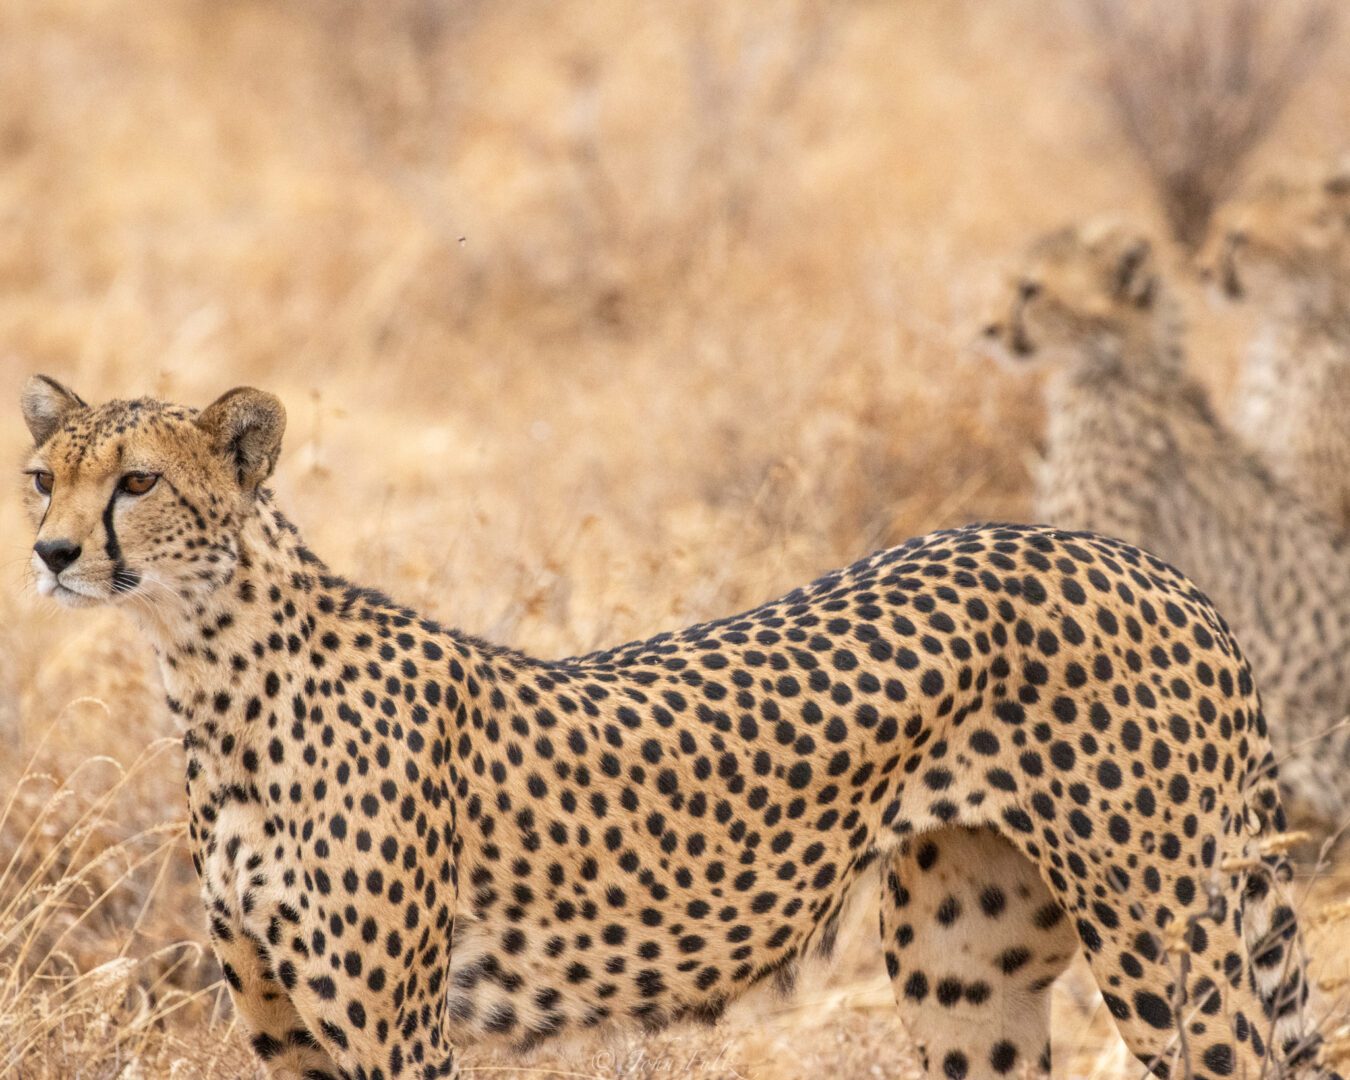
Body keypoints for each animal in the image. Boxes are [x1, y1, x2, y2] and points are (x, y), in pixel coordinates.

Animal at [18, 372, 1339, 1080]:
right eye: (43, 478)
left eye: (136, 482)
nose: (51, 553)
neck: (214, 676)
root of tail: (1140, 560)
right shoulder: (285, 1032)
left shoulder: (397, 1035)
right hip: (967, 962)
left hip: (1168, 943)